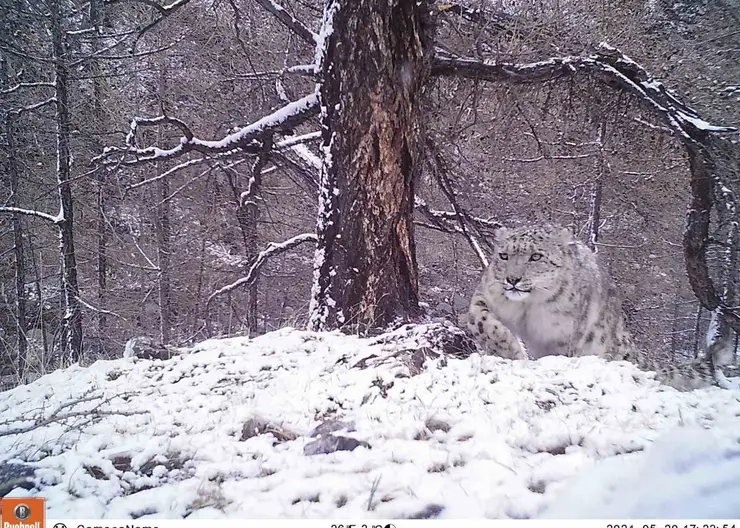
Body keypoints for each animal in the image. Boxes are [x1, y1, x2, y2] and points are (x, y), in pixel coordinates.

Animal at [468, 224, 716, 392]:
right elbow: (483, 321)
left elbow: (561, 355)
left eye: (536, 256)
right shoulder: (485, 296)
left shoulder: (564, 335)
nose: (512, 279)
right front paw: (510, 350)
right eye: (503, 255)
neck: (528, 308)